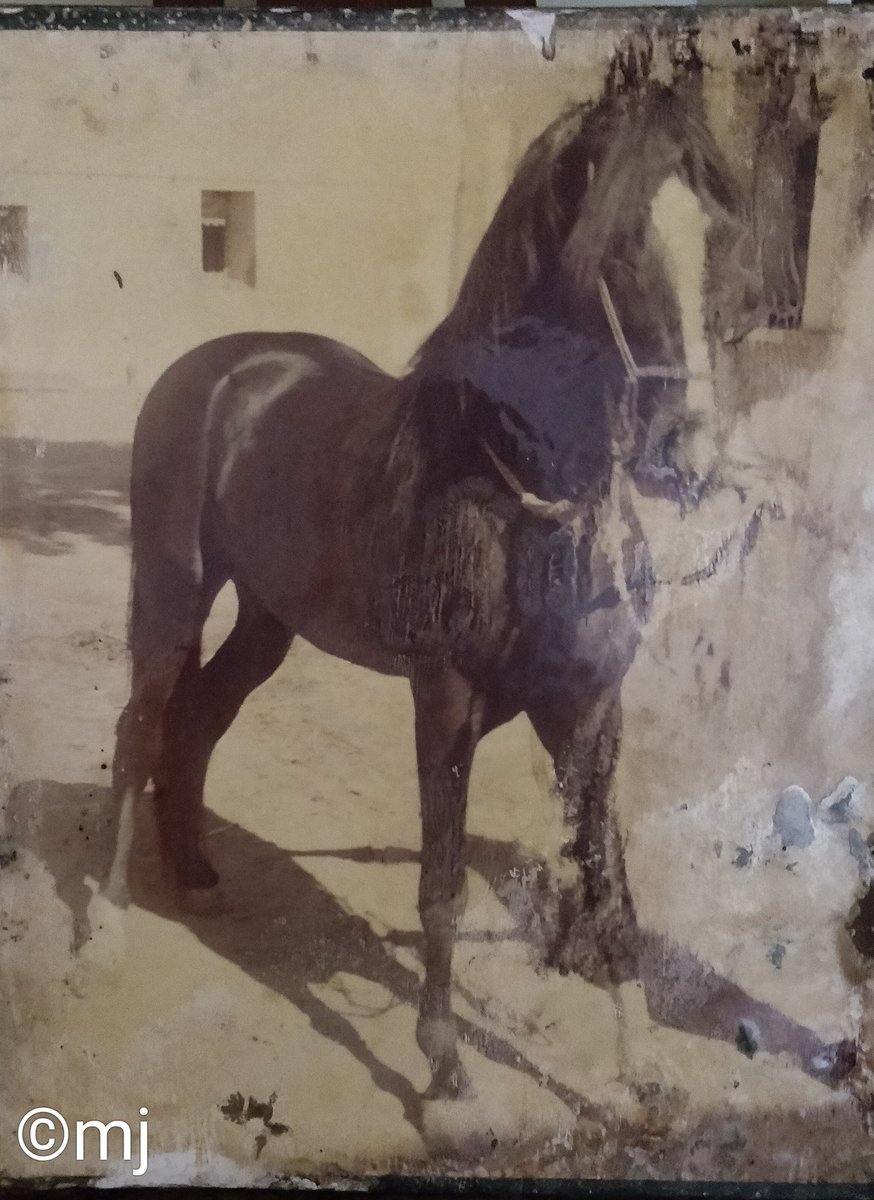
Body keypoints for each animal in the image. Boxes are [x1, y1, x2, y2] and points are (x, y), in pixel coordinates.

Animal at [109, 63, 749, 1099]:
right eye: (618, 245)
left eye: (719, 237)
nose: (687, 452)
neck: (513, 492)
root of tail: (214, 369)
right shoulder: (445, 699)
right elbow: (442, 882)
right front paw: (446, 1069)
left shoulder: (588, 710)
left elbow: (607, 881)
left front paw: (645, 1071)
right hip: (172, 593)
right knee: (142, 729)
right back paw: (106, 927)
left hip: (266, 621)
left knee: (196, 724)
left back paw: (196, 877)